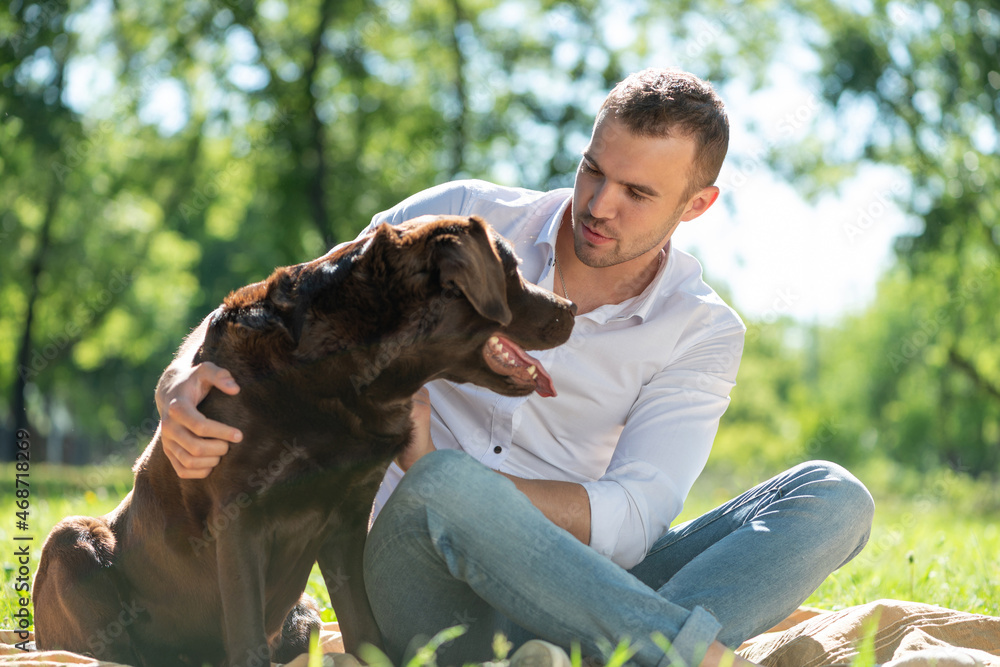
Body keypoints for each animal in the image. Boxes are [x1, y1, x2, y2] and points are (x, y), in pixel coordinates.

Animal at [31, 217, 576, 664]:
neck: (344, 371)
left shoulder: (348, 519)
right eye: (511, 270)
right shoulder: (239, 520)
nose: (570, 307)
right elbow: (248, 638)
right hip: (71, 540)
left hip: (306, 613)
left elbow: (364, 631)